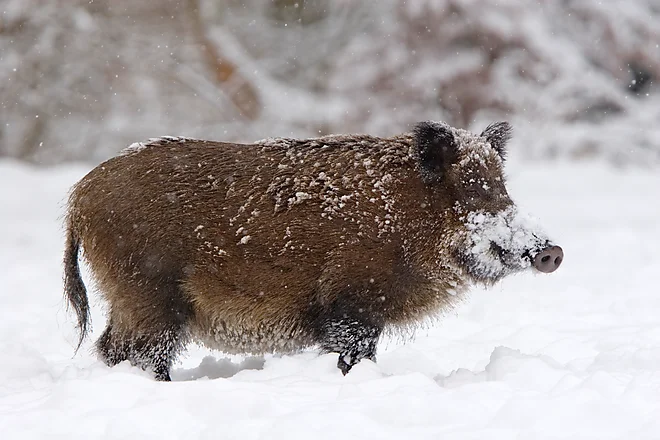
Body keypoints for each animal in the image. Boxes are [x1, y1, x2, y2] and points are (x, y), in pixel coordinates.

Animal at [63, 121, 563, 381]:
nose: (551, 251)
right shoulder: (352, 304)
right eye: (471, 187)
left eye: (501, 185)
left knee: (110, 348)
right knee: (137, 352)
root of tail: (79, 195)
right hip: (147, 294)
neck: (405, 218)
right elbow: (351, 354)